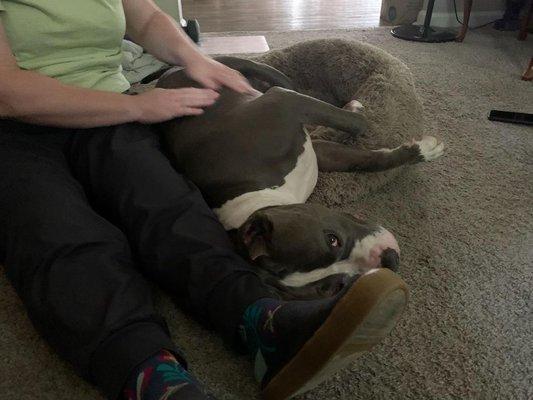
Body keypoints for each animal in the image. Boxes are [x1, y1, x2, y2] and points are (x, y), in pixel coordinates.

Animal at [156, 56, 442, 300]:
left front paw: (422, 151)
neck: (260, 197)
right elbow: (362, 150)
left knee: (281, 80)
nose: (390, 260)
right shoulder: (320, 151)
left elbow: (362, 132)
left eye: (332, 239)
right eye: (333, 287)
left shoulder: (286, 105)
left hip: (252, 74)